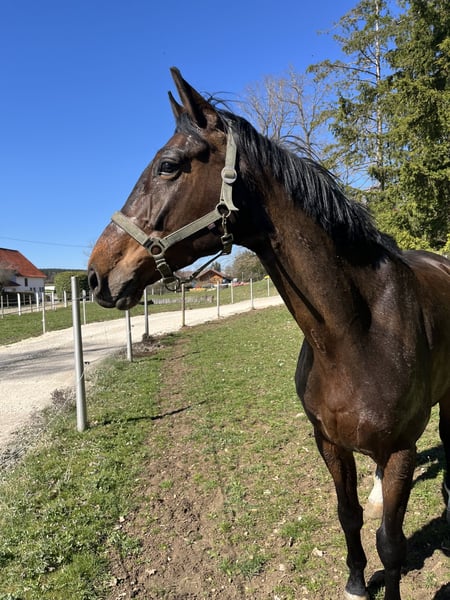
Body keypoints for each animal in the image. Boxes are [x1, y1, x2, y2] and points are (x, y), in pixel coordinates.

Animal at [88, 68, 450, 600]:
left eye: (168, 166)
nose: (96, 276)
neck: (354, 333)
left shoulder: (402, 447)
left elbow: (392, 544)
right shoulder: (329, 442)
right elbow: (349, 515)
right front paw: (355, 582)